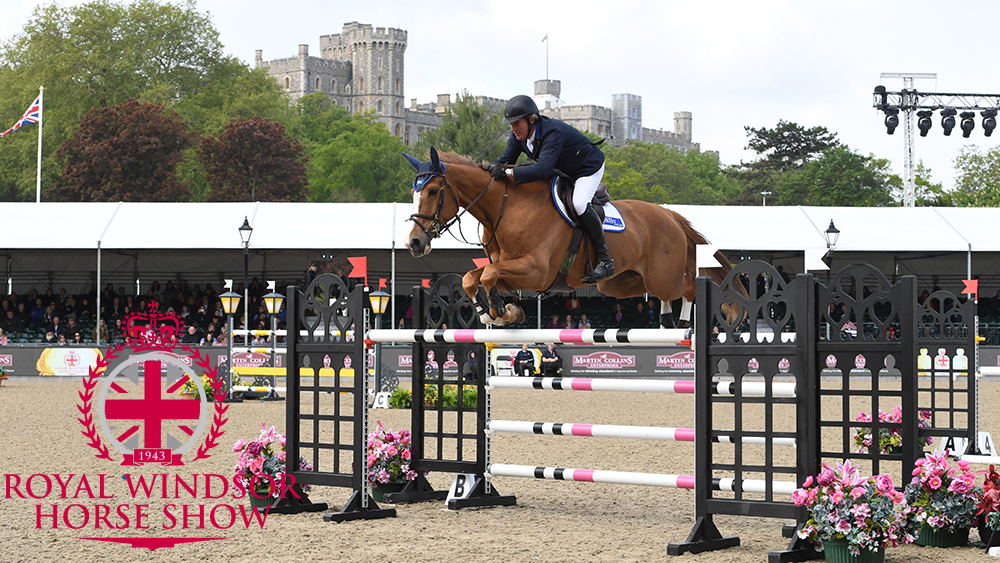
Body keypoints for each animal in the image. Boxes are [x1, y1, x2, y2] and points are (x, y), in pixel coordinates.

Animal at [404, 146, 741, 327]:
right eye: (413, 193)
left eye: (432, 191)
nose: (415, 243)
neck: (506, 207)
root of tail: (670, 215)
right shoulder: (509, 268)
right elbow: (472, 278)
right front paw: (497, 313)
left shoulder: (536, 271)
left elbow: (486, 275)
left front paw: (500, 312)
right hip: (620, 283)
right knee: (659, 294)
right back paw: (668, 320)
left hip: (662, 275)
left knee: (688, 287)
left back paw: (690, 319)